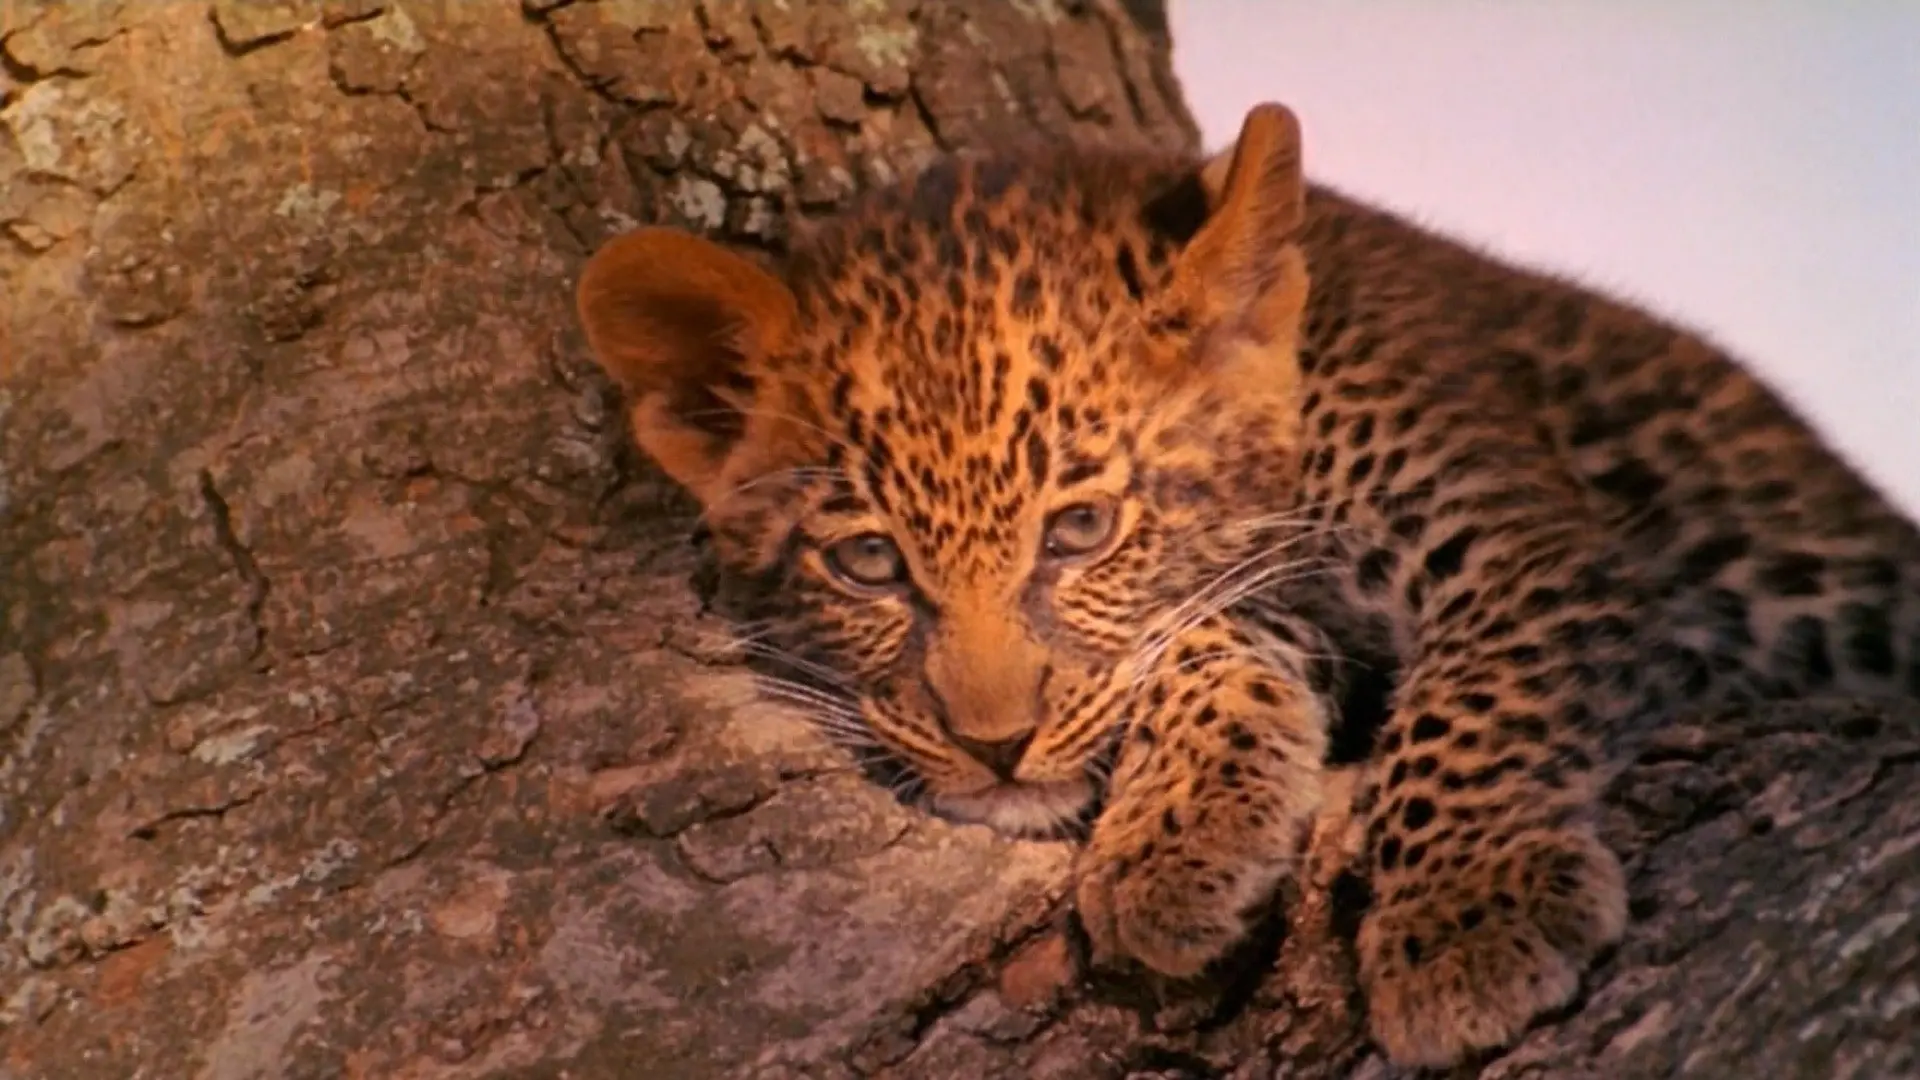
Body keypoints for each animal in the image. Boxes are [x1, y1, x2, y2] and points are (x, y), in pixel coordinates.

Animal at [573, 103, 1920, 1068]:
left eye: (1080, 531)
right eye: (868, 562)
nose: (994, 747)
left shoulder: (1518, 542)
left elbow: (1469, 709)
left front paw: (1467, 921)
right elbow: (1203, 642)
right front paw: (1181, 844)